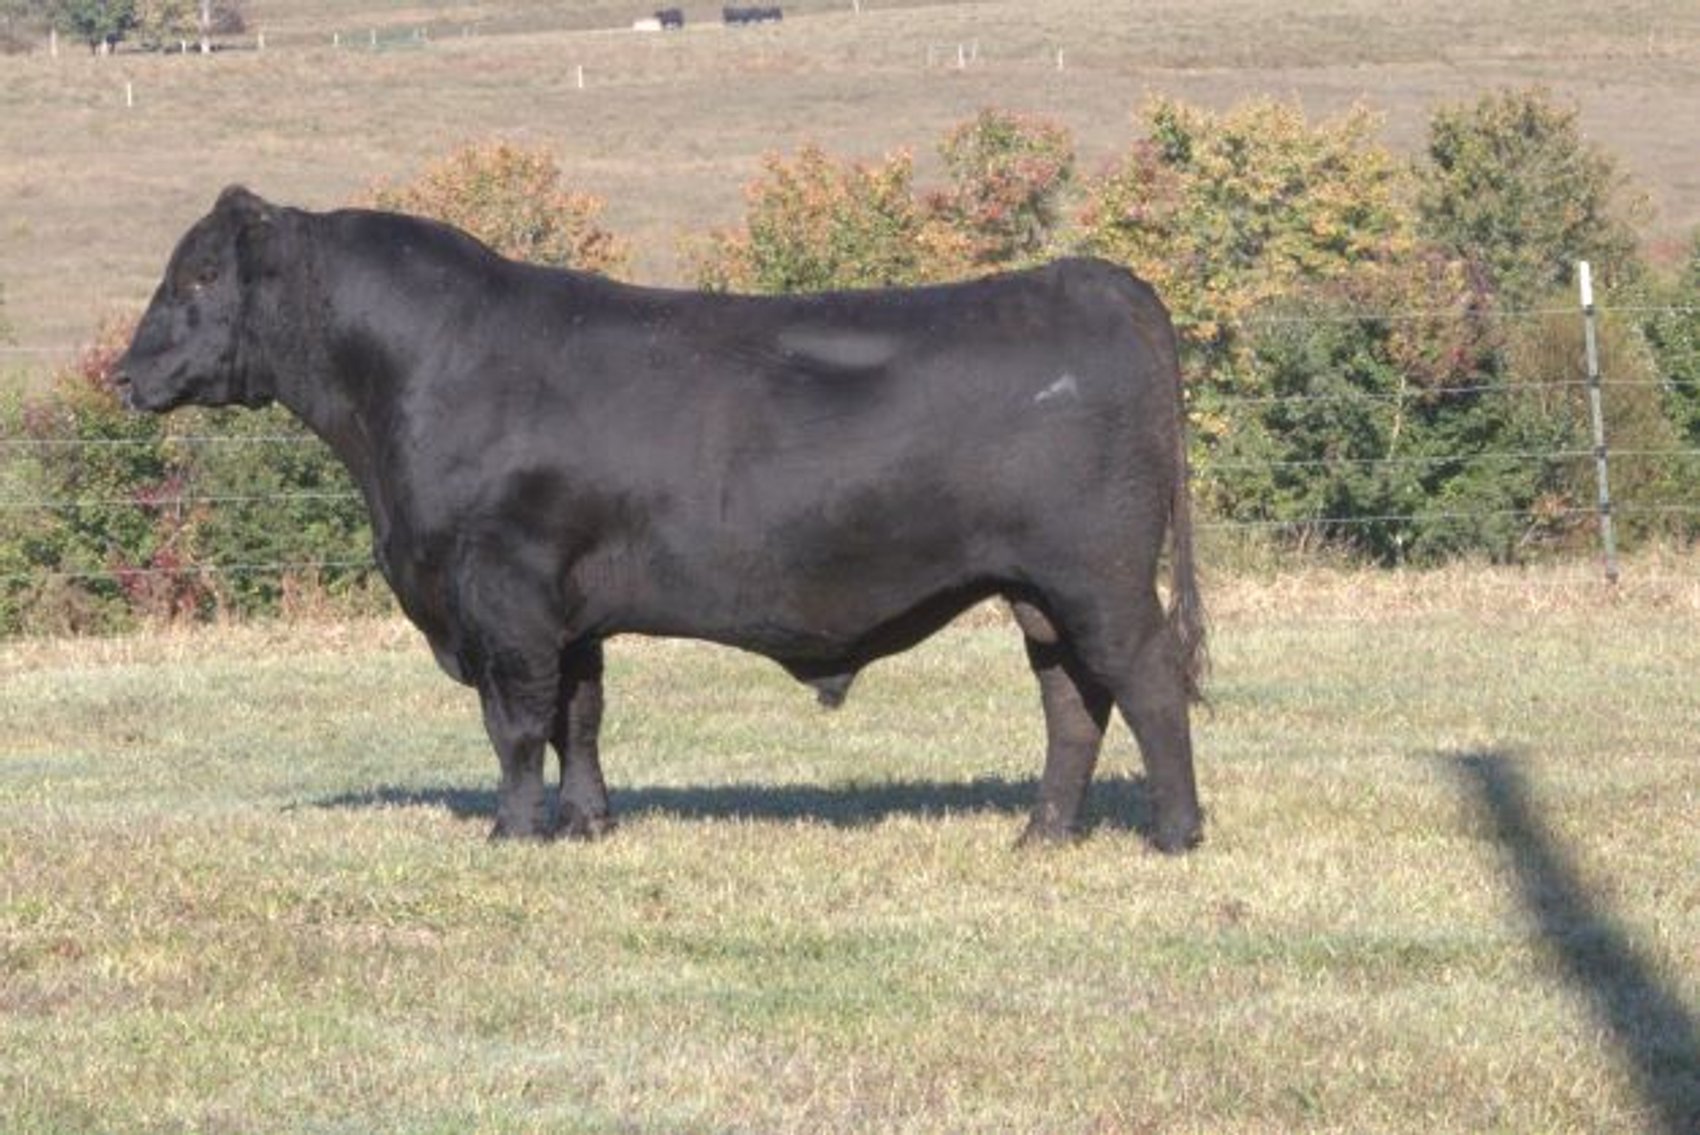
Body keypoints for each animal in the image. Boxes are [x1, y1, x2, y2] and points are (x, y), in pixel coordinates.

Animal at [115, 186, 1207, 852]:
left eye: (200, 276)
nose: (125, 374)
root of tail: (1094, 279)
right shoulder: (569, 609)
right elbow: (580, 713)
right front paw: (587, 822)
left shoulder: (504, 592)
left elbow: (516, 720)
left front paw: (513, 830)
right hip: (1036, 591)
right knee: (1072, 698)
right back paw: (1040, 833)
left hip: (1097, 575)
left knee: (1145, 681)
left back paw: (1176, 831)